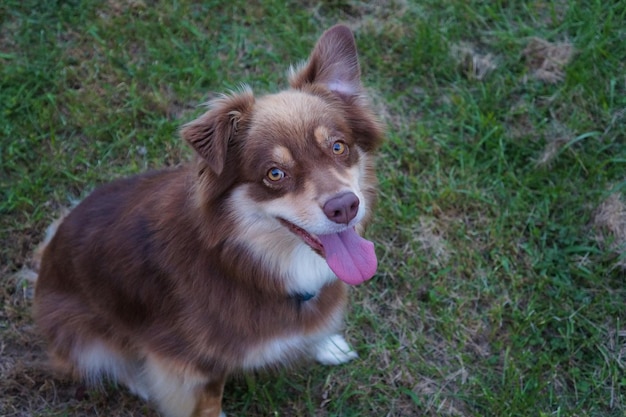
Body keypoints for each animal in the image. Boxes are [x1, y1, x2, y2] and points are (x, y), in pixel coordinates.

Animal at [35, 25, 386, 416]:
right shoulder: (192, 362)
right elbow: (204, 402)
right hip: (81, 330)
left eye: (339, 147)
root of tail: (46, 255)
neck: (245, 261)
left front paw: (326, 343)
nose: (346, 206)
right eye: (275, 173)